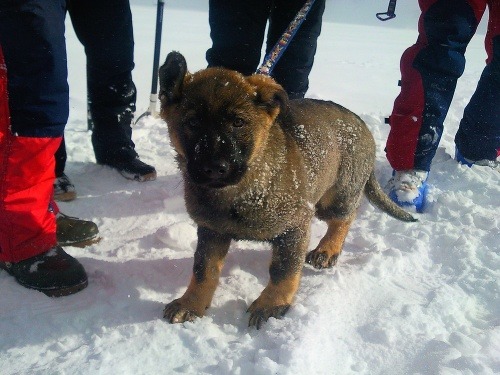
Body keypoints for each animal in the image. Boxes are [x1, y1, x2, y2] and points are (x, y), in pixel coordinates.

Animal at [158, 50, 416, 328]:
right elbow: (203, 269)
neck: (244, 188)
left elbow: (284, 270)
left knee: (346, 217)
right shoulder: (211, 230)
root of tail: (360, 122)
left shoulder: (294, 227)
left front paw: (272, 304)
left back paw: (327, 249)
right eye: (192, 122)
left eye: (238, 122)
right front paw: (191, 303)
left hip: (333, 198)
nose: (215, 168)